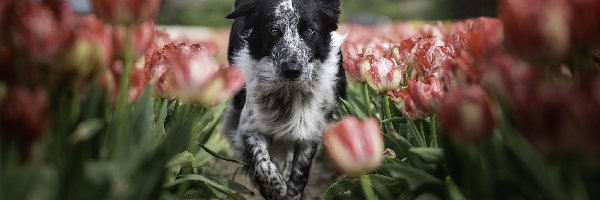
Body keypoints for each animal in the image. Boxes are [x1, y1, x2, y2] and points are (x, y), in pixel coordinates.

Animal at [224, 0, 346, 198]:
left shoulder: (310, 133)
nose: (291, 70)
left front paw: (290, 189)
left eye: (309, 30)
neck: (289, 93)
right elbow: (262, 163)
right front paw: (274, 188)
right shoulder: (249, 127)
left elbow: (298, 175)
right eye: (274, 30)